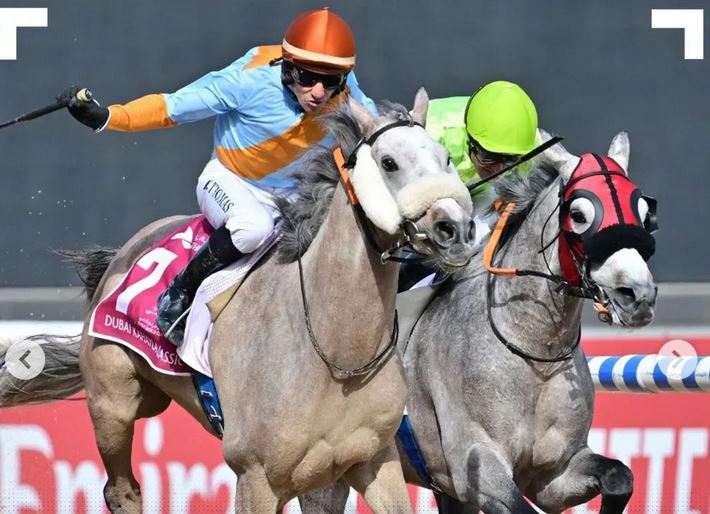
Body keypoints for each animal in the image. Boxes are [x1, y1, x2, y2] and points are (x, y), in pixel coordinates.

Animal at [0, 88, 481, 513]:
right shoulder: (256, 476)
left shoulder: (372, 462)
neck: (333, 350)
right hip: (112, 403)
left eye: (446, 157)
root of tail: (125, 251)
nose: (455, 229)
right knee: (122, 491)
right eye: (389, 162)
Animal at [299, 132, 658, 513]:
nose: (638, 294)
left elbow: (619, 476)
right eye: (578, 214)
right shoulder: (477, 464)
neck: (532, 347)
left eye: (644, 212)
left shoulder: (554, 473)